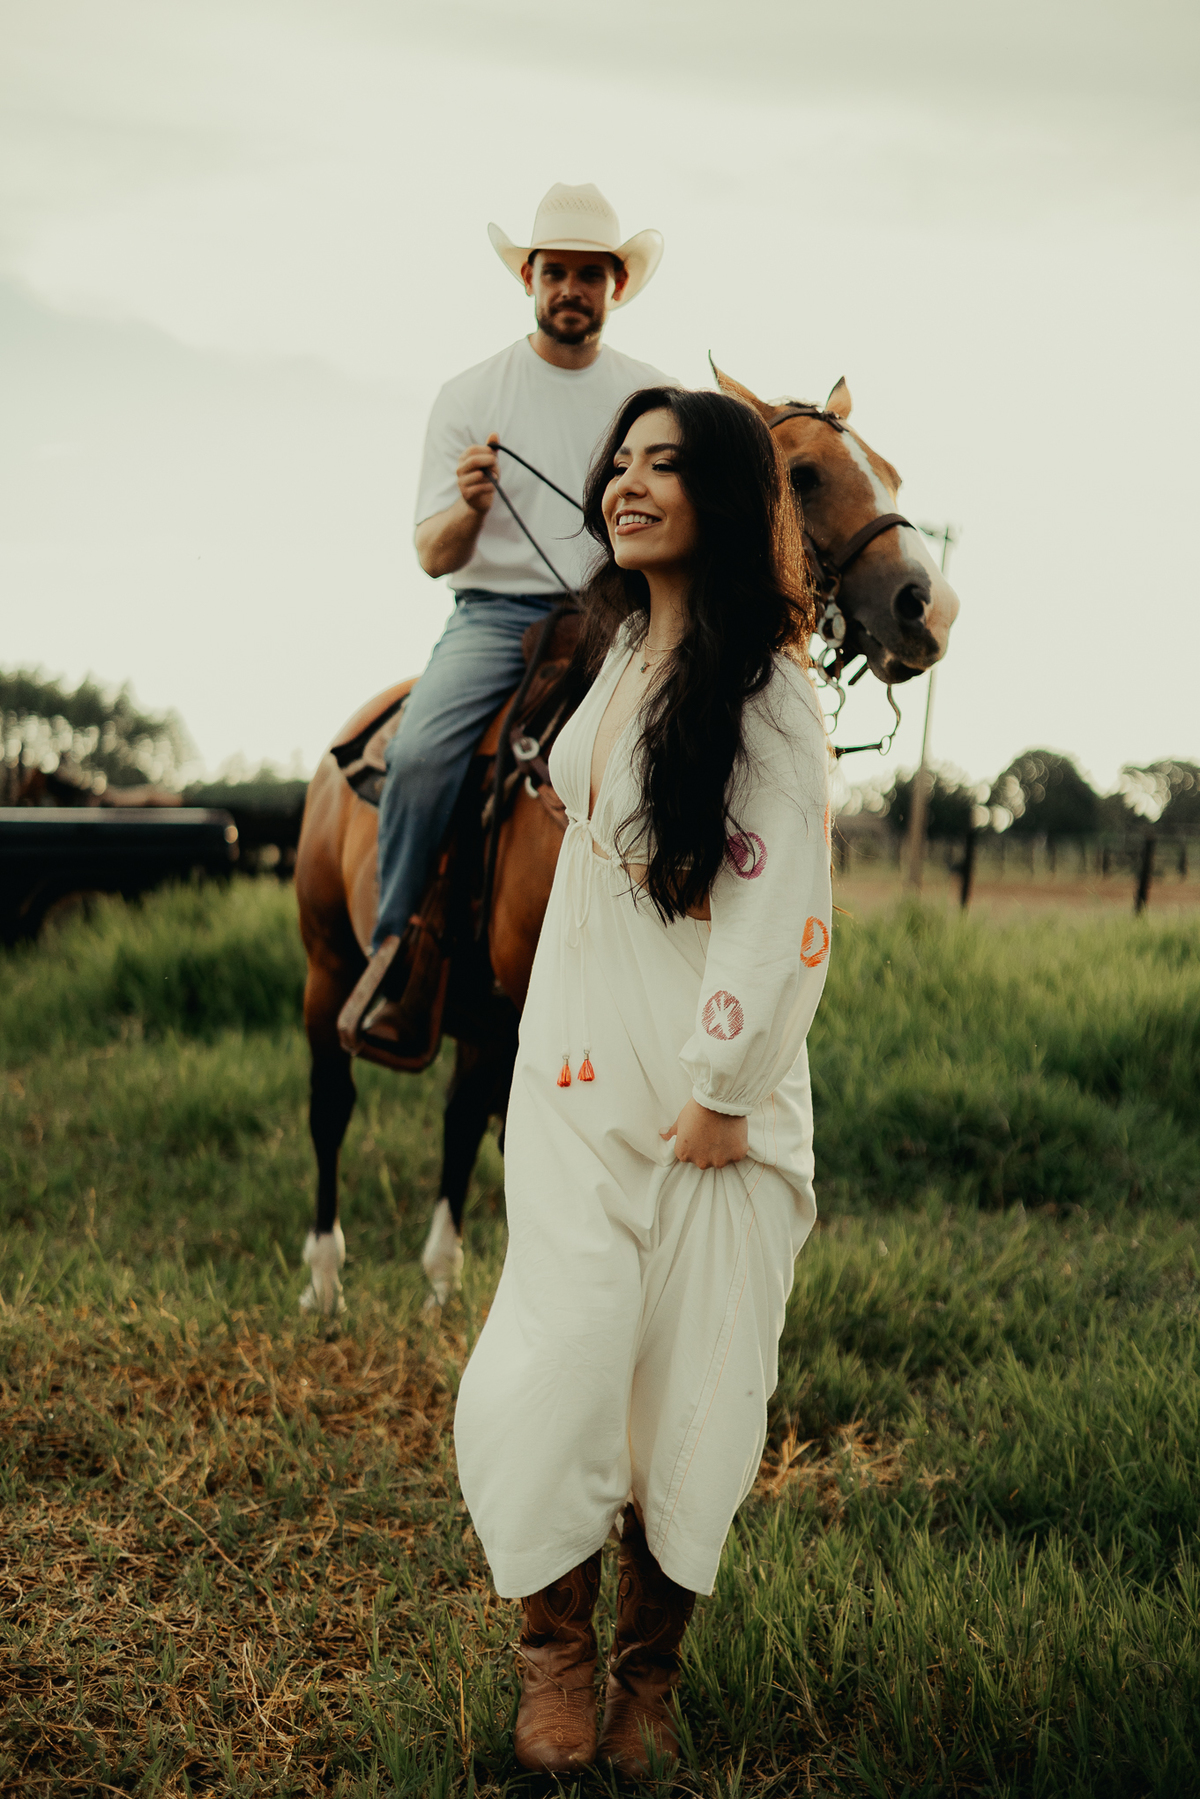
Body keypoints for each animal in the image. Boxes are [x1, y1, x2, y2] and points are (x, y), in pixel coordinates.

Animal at [292, 370, 960, 1315]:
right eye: (802, 475)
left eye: (893, 473)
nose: (926, 606)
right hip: (330, 963)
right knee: (332, 1102)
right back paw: (324, 1275)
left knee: (457, 1111)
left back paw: (442, 1277)